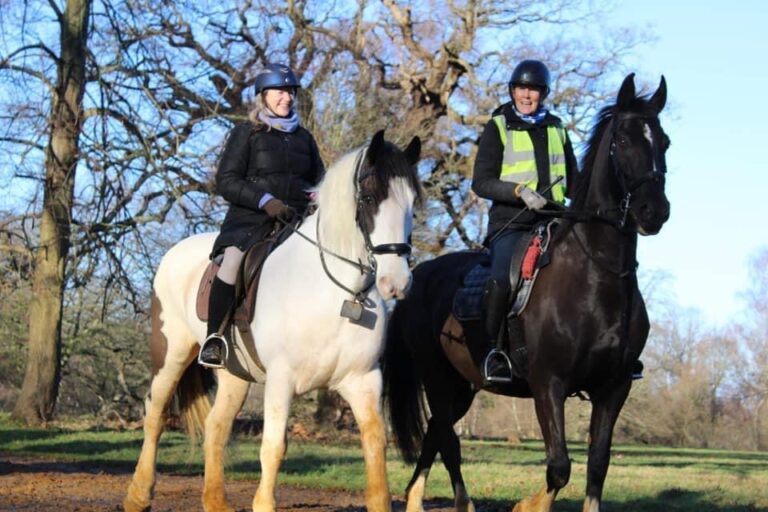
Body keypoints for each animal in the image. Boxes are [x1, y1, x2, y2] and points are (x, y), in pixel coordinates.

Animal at [127, 129, 426, 512]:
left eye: (412, 205)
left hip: (234, 374)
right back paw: (138, 494)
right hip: (171, 352)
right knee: (156, 414)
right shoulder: (281, 381)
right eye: (370, 198)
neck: (337, 294)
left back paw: (216, 502)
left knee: (216, 427)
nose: (397, 282)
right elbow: (274, 448)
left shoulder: (362, 381)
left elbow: (375, 446)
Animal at [384, 75, 672, 512]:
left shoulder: (614, 387)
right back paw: (461, 502)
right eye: (623, 140)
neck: (597, 277)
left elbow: (597, 466)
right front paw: (527, 505)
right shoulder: (548, 384)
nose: (653, 211)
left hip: (462, 385)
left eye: (664, 141)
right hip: (437, 378)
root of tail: (420, 275)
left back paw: (416, 498)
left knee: (436, 433)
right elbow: (559, 467)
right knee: (449, 443)